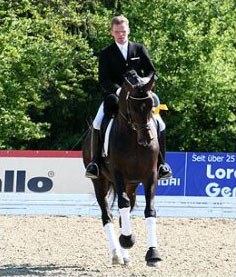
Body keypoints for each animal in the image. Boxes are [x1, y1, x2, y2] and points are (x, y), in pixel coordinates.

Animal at [82, 69, 161, 266]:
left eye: (150, 106)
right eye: (132, 107)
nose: (146, 139)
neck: (134, 139)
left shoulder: (150, 176)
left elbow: (149, 209)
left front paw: (153, 254)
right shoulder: (118, 174)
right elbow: (122, 203)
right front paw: (126, 239)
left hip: (132, 185)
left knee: (123, 213)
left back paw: (125, 256)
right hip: (101, 182)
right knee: (107, 214)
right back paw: (117, 254)